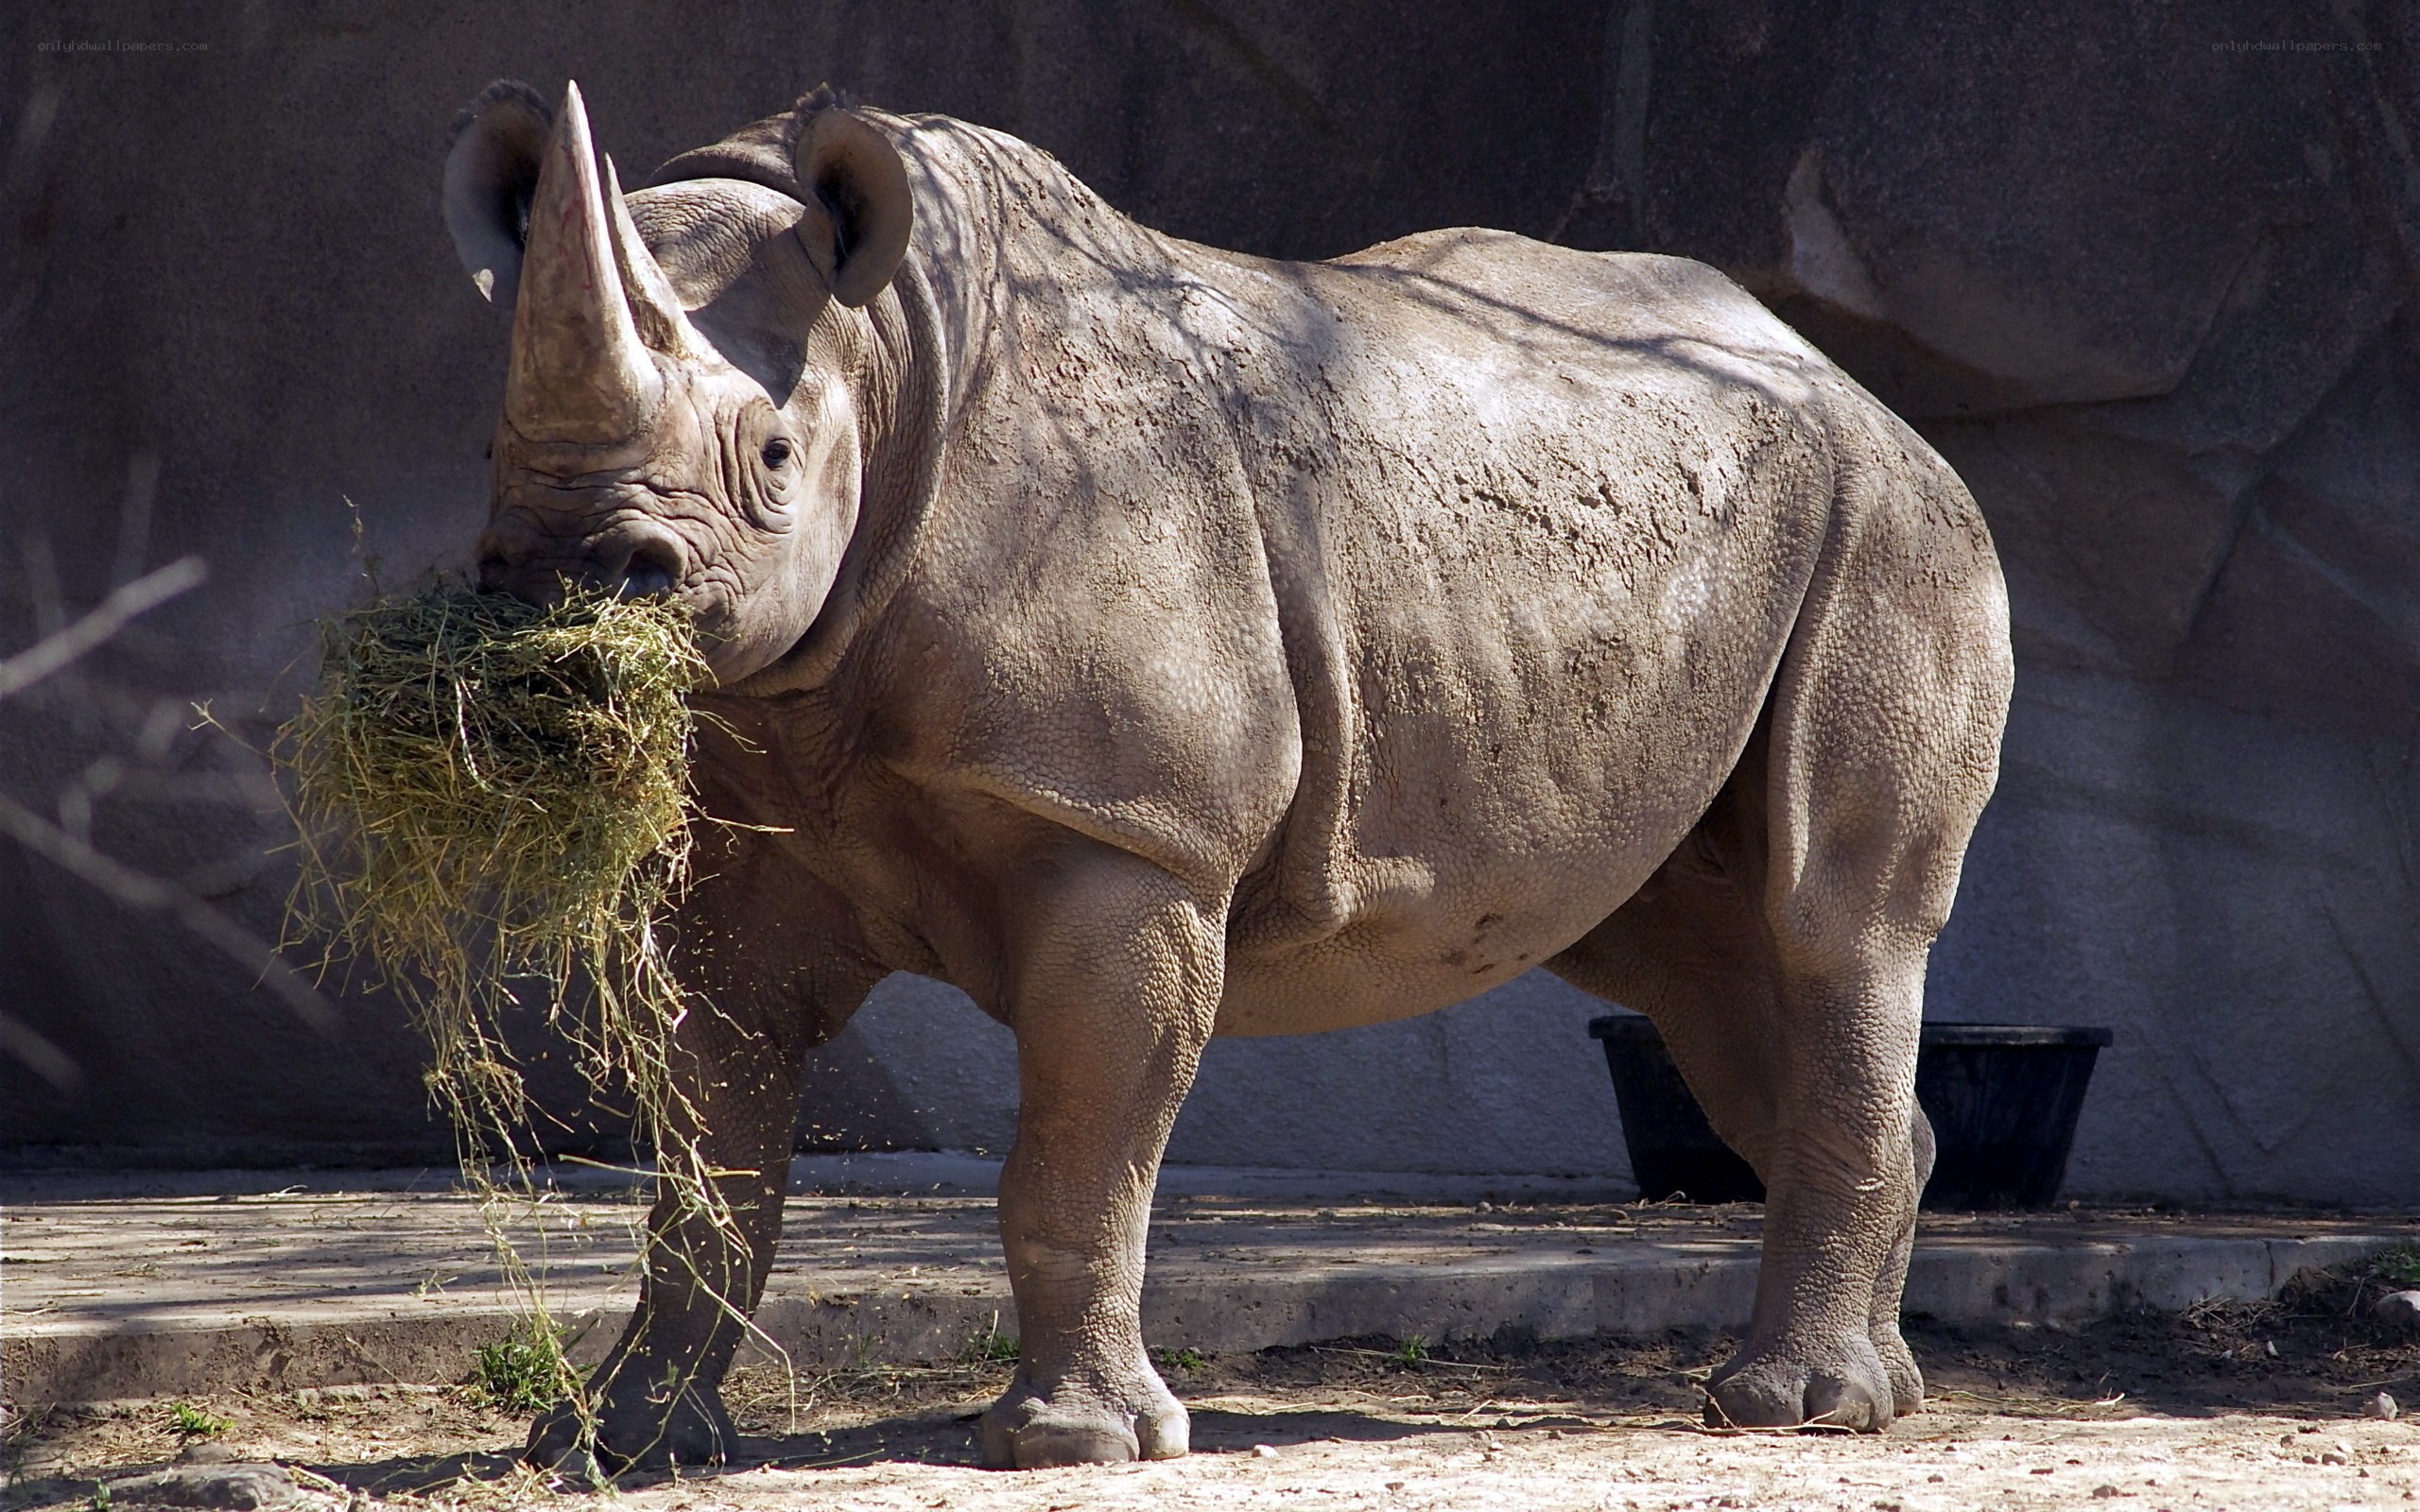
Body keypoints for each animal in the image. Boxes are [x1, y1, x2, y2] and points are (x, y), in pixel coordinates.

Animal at [440, 79, 2012, 1470]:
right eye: (491, 446)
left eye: (773, 457)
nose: (568, 579)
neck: (884, 356)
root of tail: (1858, 387)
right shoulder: (737, 844)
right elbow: (708, 1170)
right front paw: (618, 1445)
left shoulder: (1131, 834)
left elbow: (1079, 1154)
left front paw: (1073, 1446)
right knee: (1697, 967)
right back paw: (1879, 1389)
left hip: (1894, 531)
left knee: (1838, 927)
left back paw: (1800, 1407)